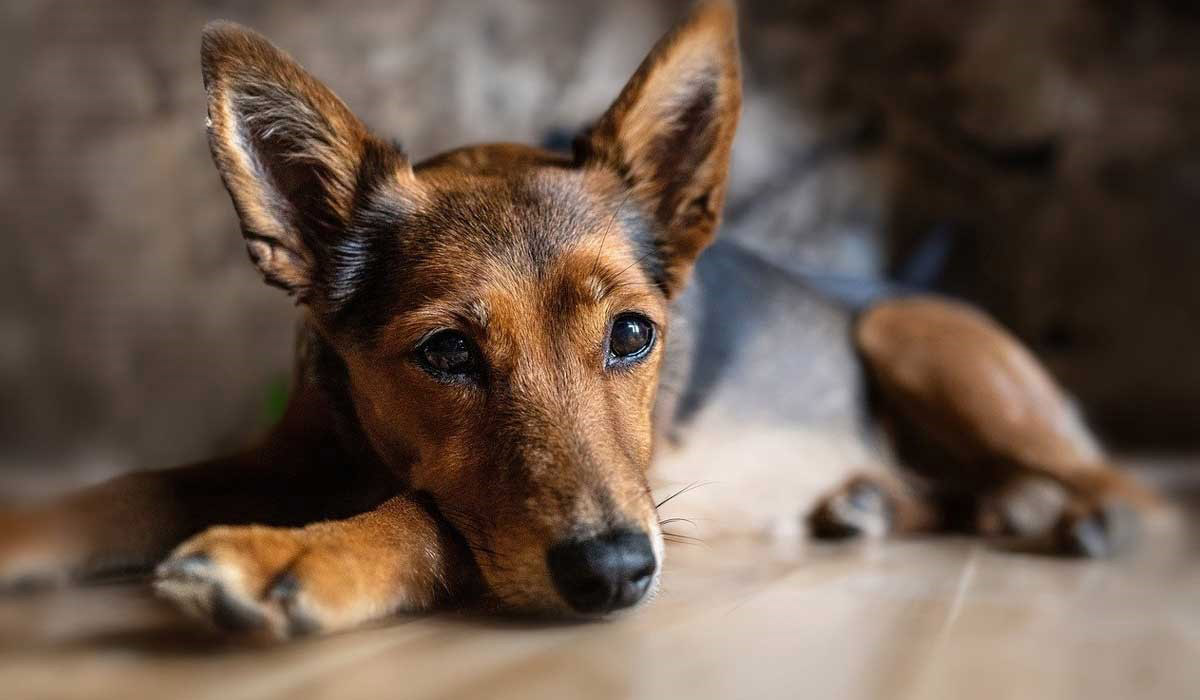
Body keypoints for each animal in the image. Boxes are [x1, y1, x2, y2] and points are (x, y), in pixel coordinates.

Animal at [0, 4, 1161, 638]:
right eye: (446, 352)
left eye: (634, 336)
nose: (614, 577)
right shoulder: (285, 453)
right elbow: (135, 485)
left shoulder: (643, 505)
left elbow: (429, 516)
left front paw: (306, 557)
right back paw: (886, 504)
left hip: (910, 336)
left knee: (1123, 483)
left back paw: (1087, 518)